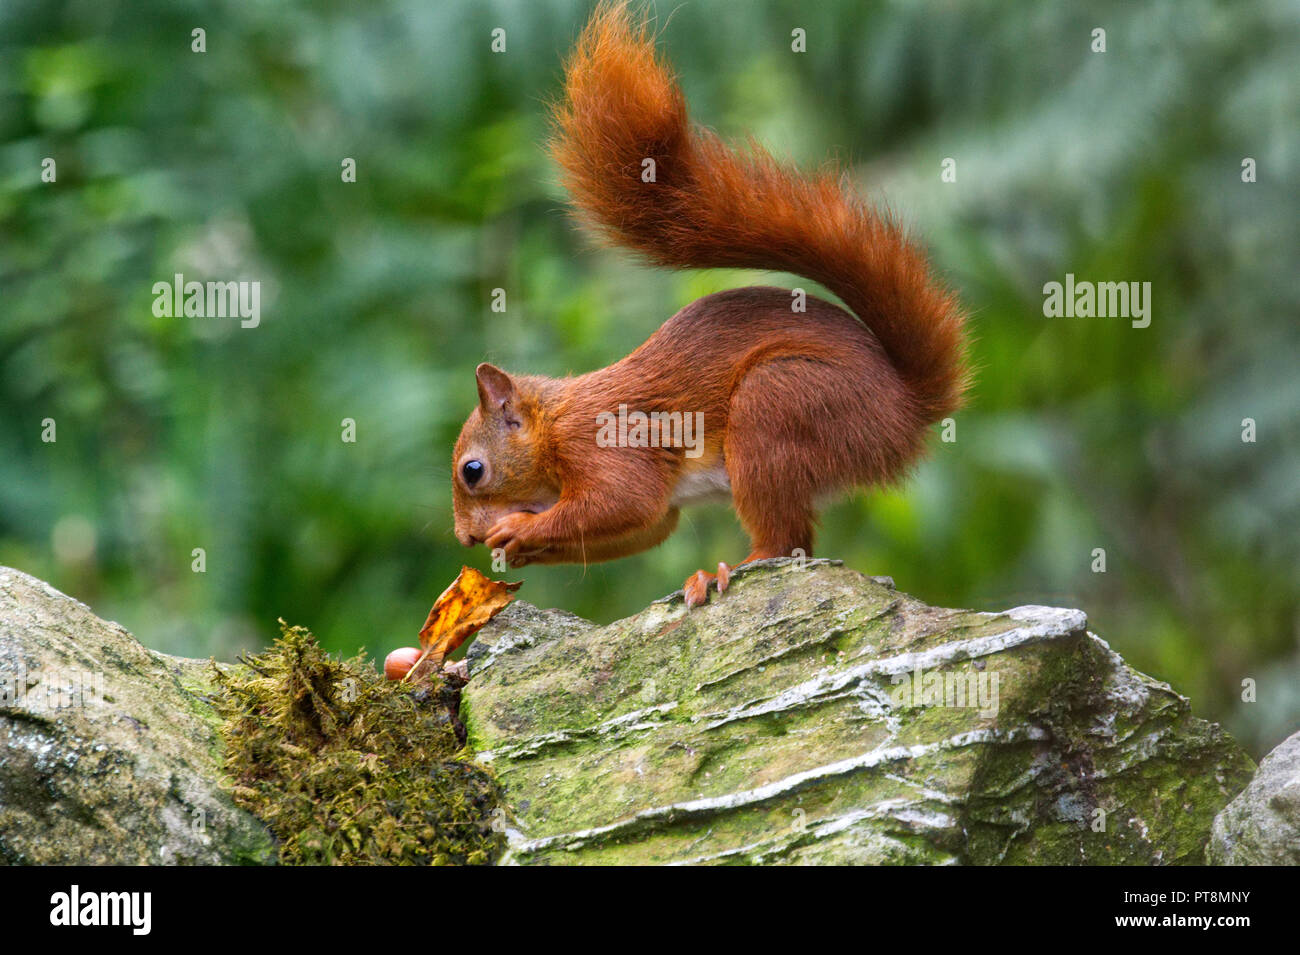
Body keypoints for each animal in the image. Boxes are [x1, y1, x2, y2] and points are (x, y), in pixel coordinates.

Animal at [447, 1, 967, 613]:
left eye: (473, 471)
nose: (465, 537)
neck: (552, 427)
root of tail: (907, 407)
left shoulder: (603, 446)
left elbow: (625, 501)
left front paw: (519, 530)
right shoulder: (646, 504)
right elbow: (647, 524)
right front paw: (520, 550)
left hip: (782, 403)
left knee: (786, 542)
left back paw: (727, 570)